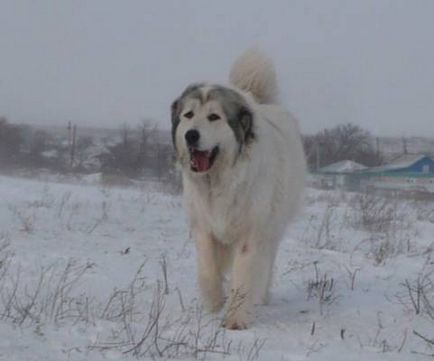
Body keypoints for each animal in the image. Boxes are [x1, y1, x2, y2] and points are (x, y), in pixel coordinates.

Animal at [170, 48, 306, 330]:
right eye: (188, 115)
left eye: (214, 117)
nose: (191, 135)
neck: (220, 180)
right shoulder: (203, 225)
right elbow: (208, 267)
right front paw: (213, 303)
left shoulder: (251, 232)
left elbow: (243, 275)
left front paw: (235, 320)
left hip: (273, 228)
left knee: (266, 262)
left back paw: (261, 297)